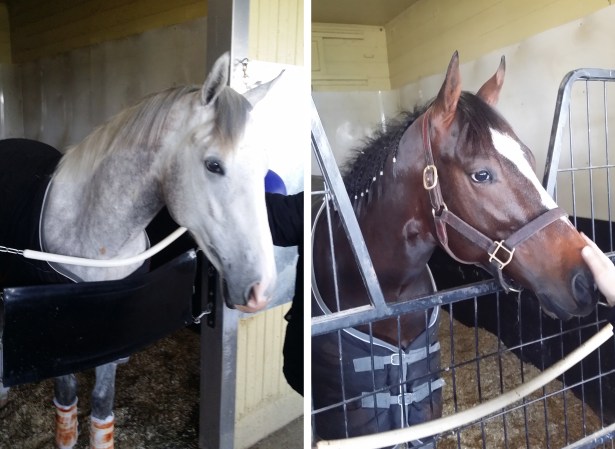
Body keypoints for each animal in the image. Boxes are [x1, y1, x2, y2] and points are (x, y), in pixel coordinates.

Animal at [0, 53, 278, 448]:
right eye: (213, 165)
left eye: (265, 168)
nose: (261, 289)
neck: (99, 241)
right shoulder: (58, 344)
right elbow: (66, 406)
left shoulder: (113, 333)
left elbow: (102, 407)